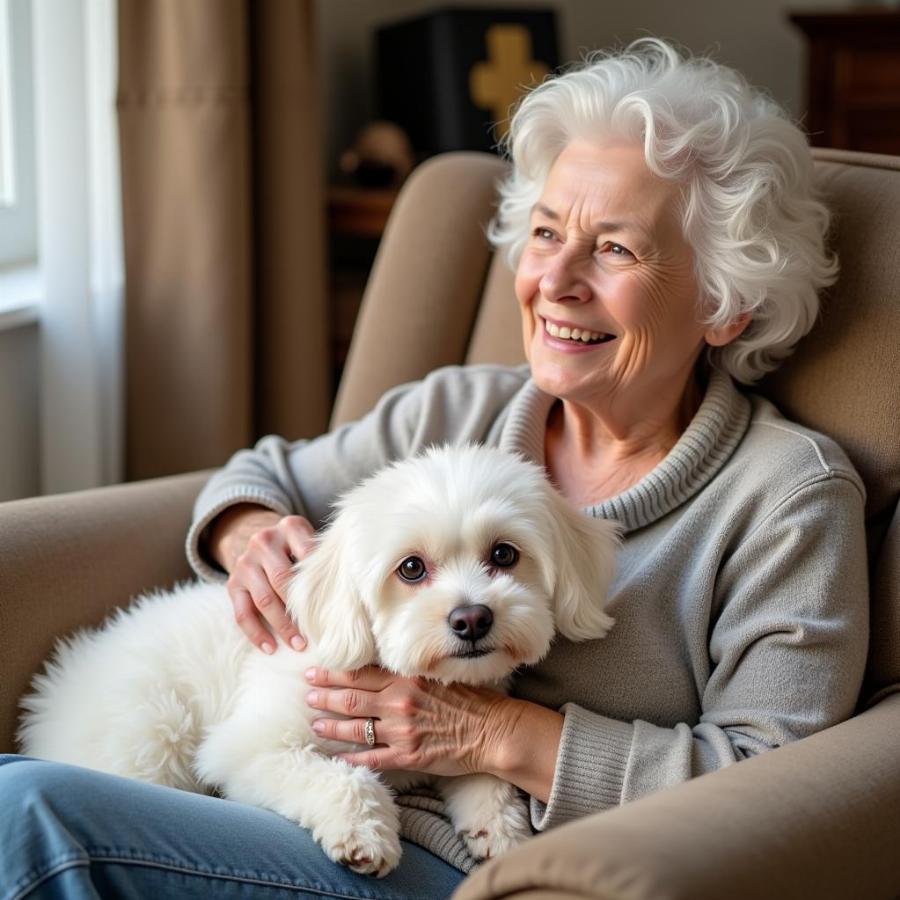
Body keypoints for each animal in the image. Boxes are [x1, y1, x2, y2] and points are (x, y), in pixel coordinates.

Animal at [19, 446, 620, 876]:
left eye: (504, 554)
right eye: (411, 568)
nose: (471, 619)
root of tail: (49, 698)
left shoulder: (458, 736)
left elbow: (489, 774)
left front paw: (500, 829)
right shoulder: (248, 747)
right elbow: (337, 776)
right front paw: (364, 833)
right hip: (155, 734)